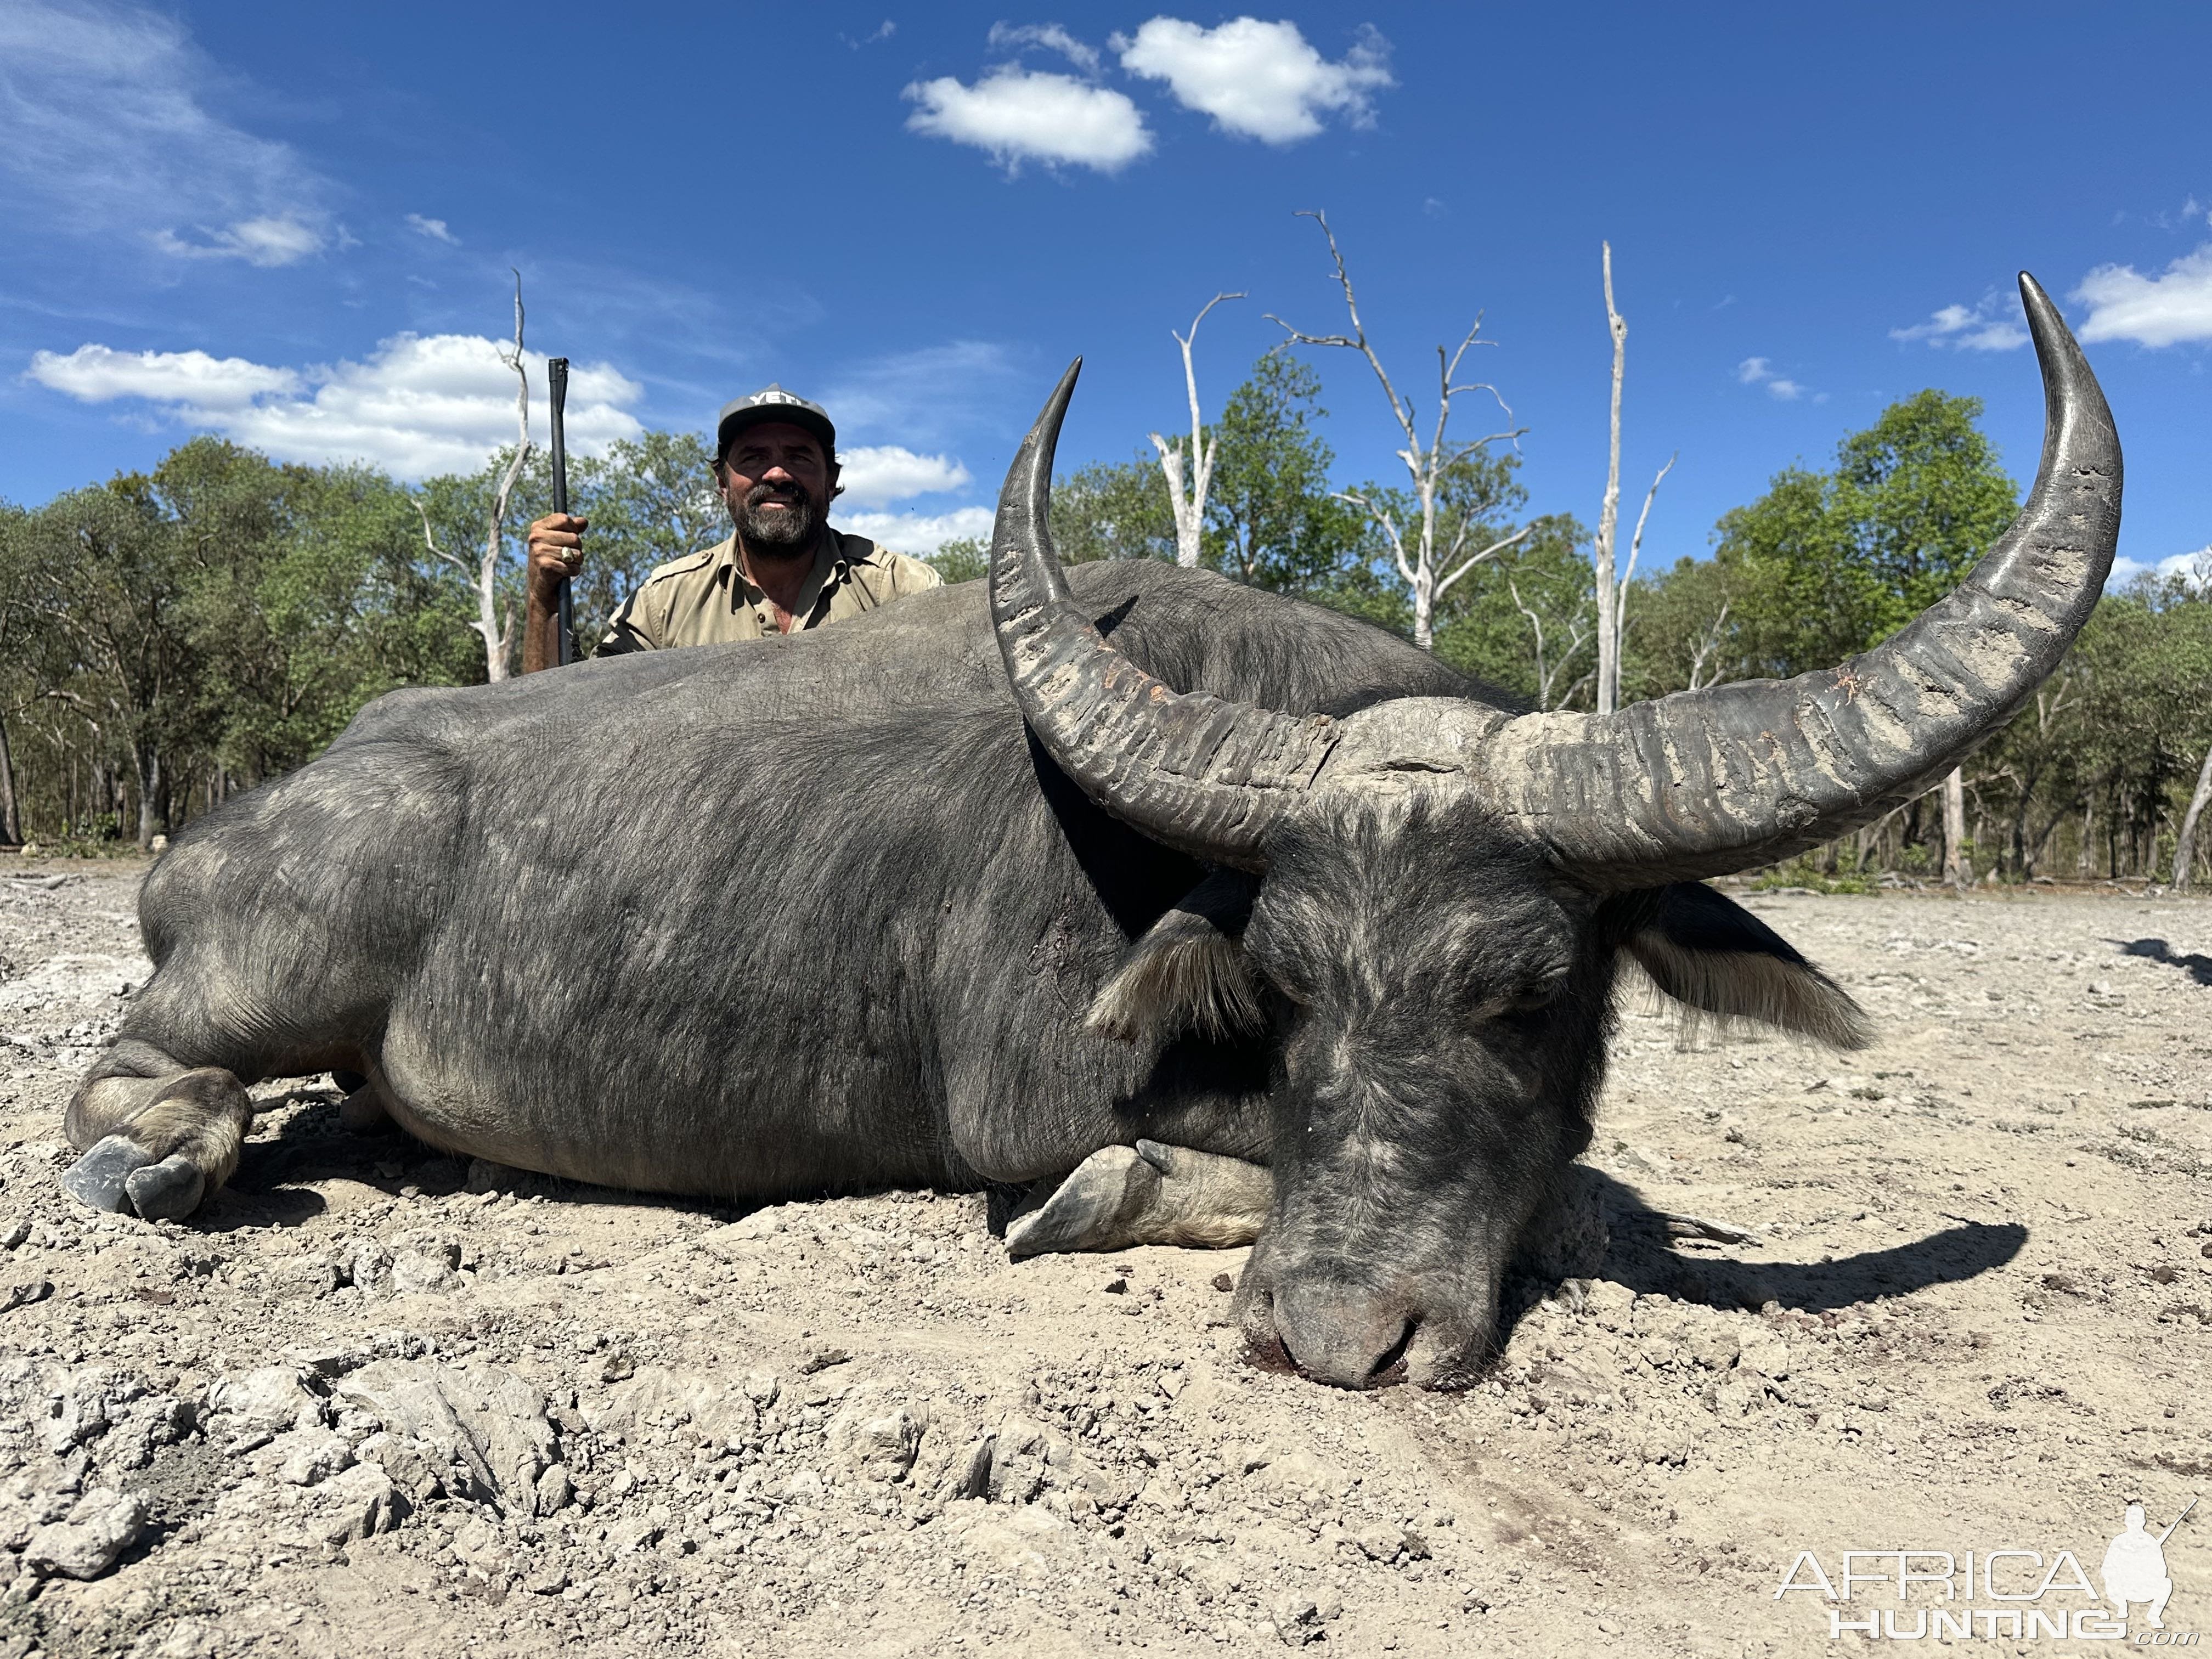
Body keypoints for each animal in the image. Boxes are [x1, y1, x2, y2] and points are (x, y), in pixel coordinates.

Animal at [60, 276, 2114, 1389]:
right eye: (1283, 988)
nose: (1337, 1334)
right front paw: (1123, 1199)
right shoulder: (1036, 1094)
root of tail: (246, 821)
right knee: (145, 1074)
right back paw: (156, 1155)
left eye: (1530, 995)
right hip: (265, 977)